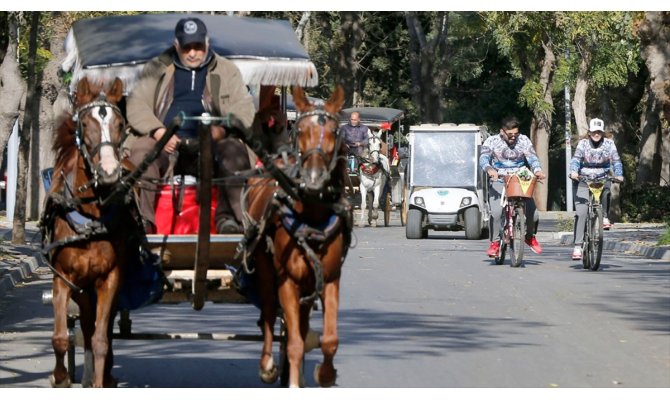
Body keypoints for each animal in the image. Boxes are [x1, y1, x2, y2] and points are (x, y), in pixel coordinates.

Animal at [41, 76, 136, 388]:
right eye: (84, 123)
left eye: (120, 124)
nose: (109, 171)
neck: (91, 218)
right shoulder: (63, 279)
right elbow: (60, 337)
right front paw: (60, 378)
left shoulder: (110, 278)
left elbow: (101, 339)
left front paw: (100, 379)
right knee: (83, 321)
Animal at [243, 85, 354, 388]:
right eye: (301, 129)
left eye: (334, 131)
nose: (314, 178)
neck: (311, 217)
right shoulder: (287, 281)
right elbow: (292, 343)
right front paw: (290, 379)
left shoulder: (330, 278)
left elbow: (329, 339)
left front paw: (325, 374)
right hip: (266, 267)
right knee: (270, 311)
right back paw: (267, 364)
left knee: (301, 325)